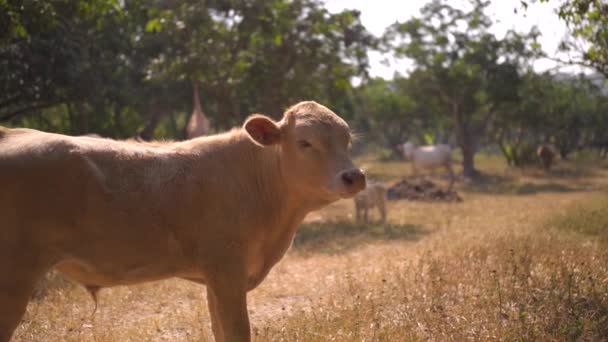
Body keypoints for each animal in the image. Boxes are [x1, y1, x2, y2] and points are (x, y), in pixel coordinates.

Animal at [0, 100, 366, 342]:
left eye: (347, 139)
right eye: (305, 142)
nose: (354, 176)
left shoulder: (215, 280)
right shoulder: (226, 272)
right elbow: (237, 332)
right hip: (15, 277)